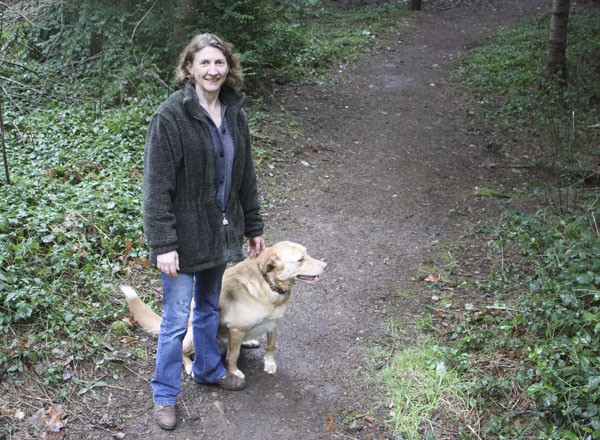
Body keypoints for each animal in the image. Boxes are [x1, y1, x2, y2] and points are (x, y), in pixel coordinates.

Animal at [121, 241, 326, 382]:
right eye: (300, 260)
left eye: (307, 254)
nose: (326, 266)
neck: (269, 284)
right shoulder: (236, 329)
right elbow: (233, 356)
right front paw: (234, 372)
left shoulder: (273, 324)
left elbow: (271, 346)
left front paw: (269, 363)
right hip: (194, 337)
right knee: (182, 352)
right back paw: (190, 366)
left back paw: (249, 341)